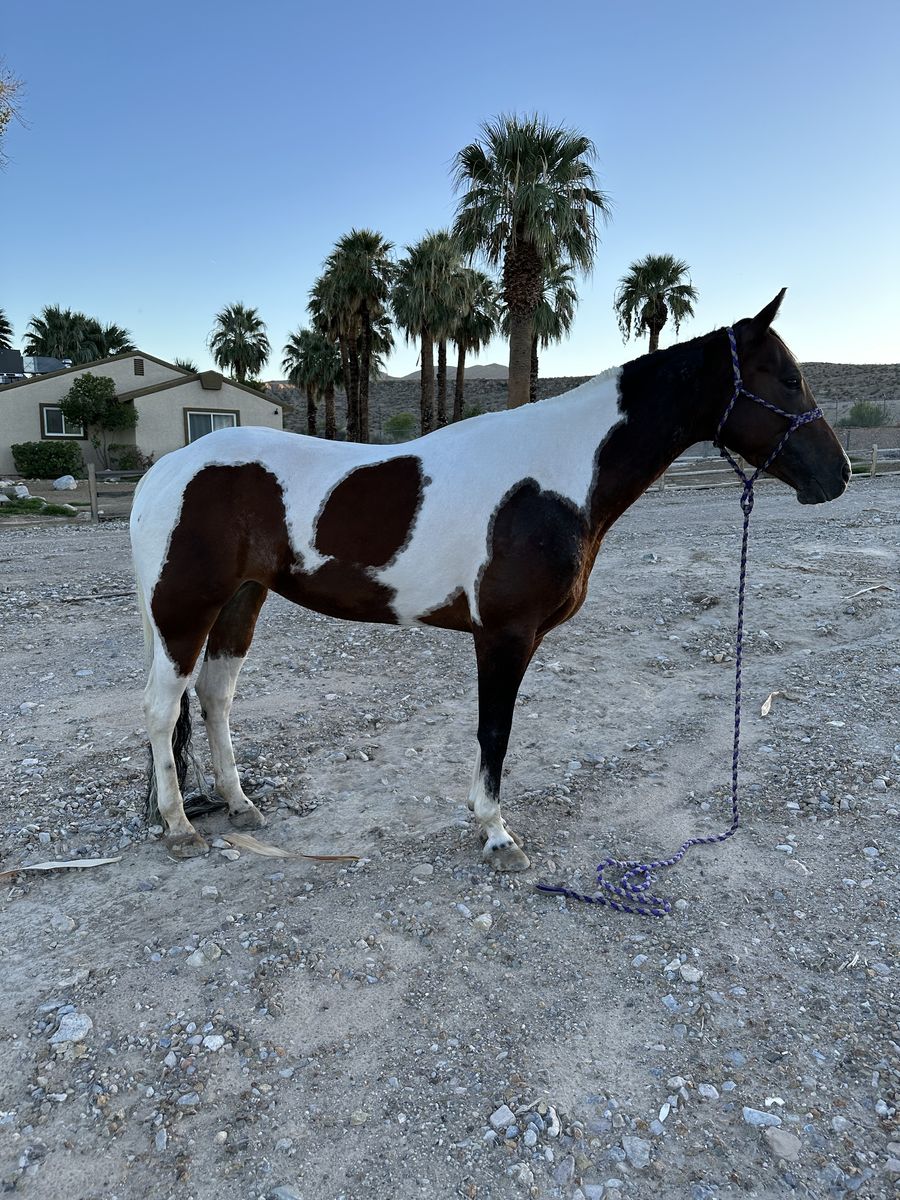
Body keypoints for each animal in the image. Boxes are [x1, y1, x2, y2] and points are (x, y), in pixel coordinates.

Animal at [131, 291, 850, 866]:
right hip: (184, 611)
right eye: (787, 379)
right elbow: (494, 732)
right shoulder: (505, 633)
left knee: (215, 697)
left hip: (241, 602)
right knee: (163, 707)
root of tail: (162, 474)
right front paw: (497, 834)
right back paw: (178, 827)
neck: (558, 475)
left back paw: (239, 803)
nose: (836, 475)